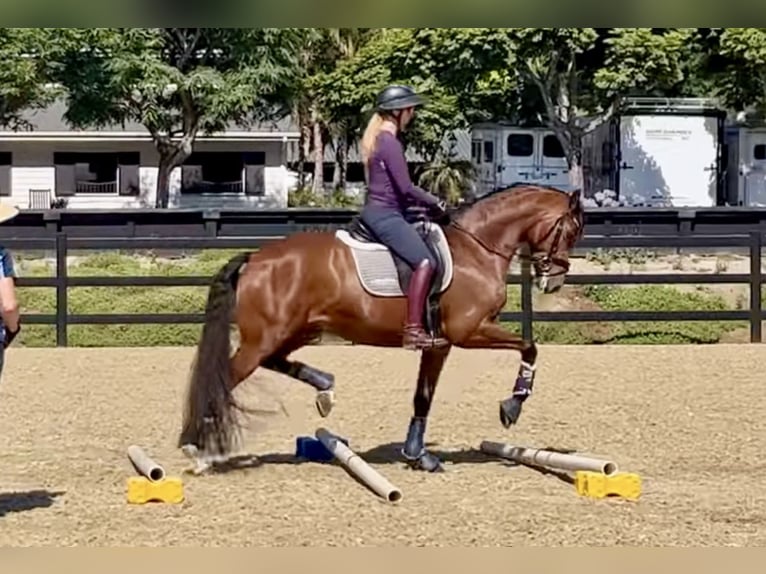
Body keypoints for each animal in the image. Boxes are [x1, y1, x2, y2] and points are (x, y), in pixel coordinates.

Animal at [180, 183, 588, 472]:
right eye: (570, 231)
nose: (554, 283)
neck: (477, 249)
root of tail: (255, 258)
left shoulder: (440, 344)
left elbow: (423, 397)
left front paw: (417, 455)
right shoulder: (469, 332)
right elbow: (530, 346)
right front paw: (512, 406)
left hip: (294, 331)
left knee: (276, 361)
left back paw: (325, 388)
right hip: (264, 339)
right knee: (225, 378)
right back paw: (196, 450)